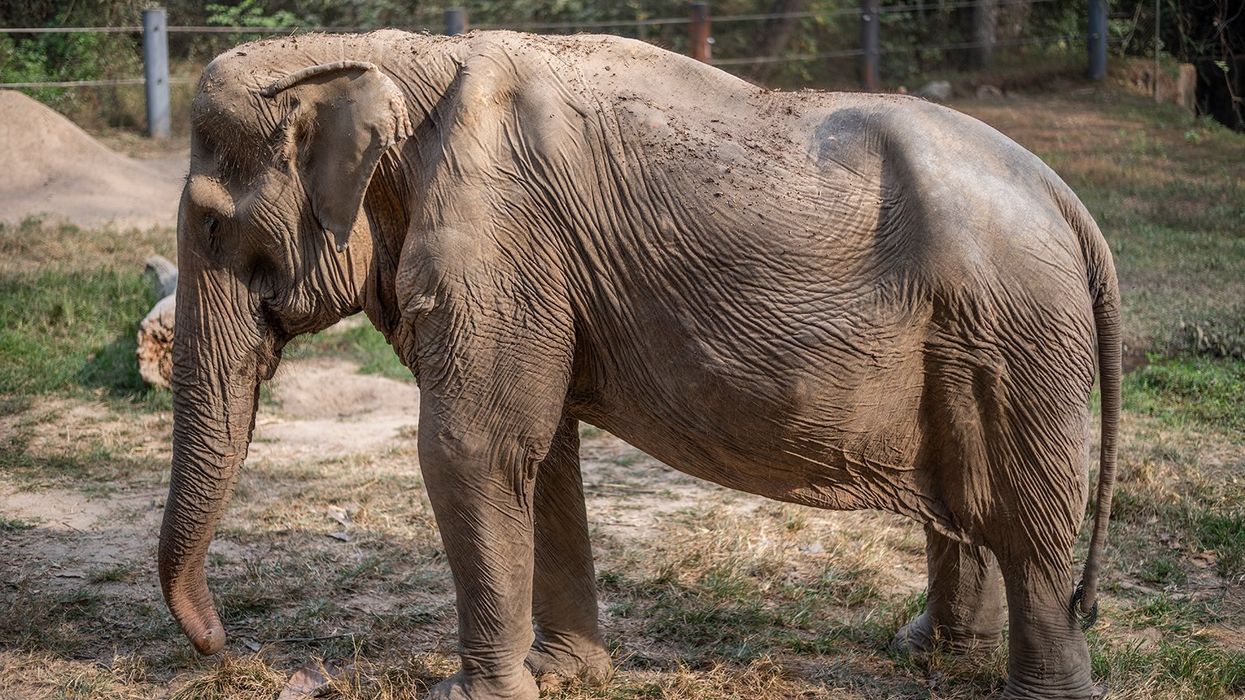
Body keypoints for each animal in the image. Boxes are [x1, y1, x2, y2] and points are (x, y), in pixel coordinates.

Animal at [158, 29, 1121, 700]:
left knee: (1027, 519)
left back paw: (1031, 688)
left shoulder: (501, 240)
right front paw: (564, 676)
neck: (391, 57)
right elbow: (539, 454)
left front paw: (469, 693)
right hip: (976, 337)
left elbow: (472, 449)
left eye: (210, 225)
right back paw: (928, 655)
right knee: (970, 501)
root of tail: (1068, 201)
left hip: (1015, 335)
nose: (222, 646)